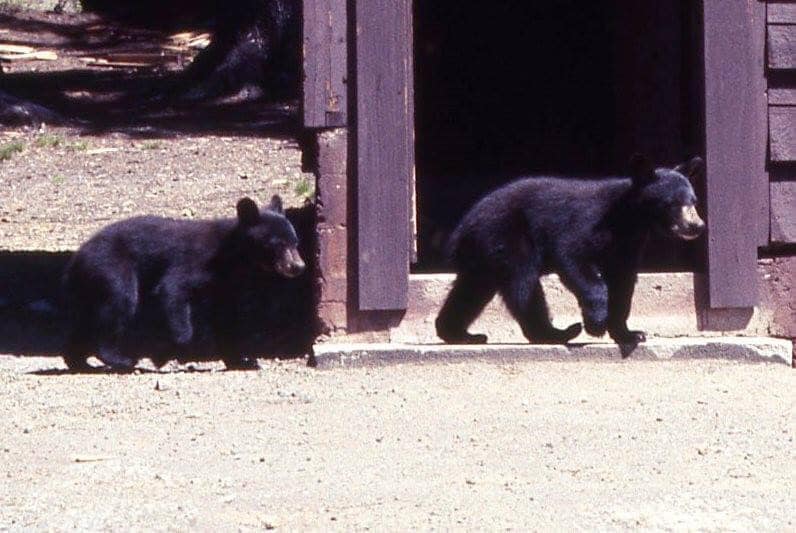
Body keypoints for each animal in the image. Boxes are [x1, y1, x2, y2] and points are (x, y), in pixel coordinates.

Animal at [60, 195, 304, 370]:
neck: (233, 258)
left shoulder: (225, 285)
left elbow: (227, 317)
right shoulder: (196, 262)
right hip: (112, 268)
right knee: (120, 302)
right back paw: (122, 359)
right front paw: (169, 352)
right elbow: (172, 291)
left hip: (90, 285)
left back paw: (78, 361)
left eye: (295, 242)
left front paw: (243, 360)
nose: (299, 266)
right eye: (278, 244)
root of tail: (77, 257)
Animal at [438, 154, 704, 348]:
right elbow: (572, 257)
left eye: (693, 200)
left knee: (471, 290)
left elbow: (623, 284)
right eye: (673, 204)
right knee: (523, 285)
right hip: (507, 237)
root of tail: (462, 229)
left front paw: (630, 334)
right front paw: (596, 323)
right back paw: (555, 333)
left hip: (483, 255)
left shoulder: (627, 246)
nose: (697, 225)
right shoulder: (587, 223)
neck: (628, 219)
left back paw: (459, 333)